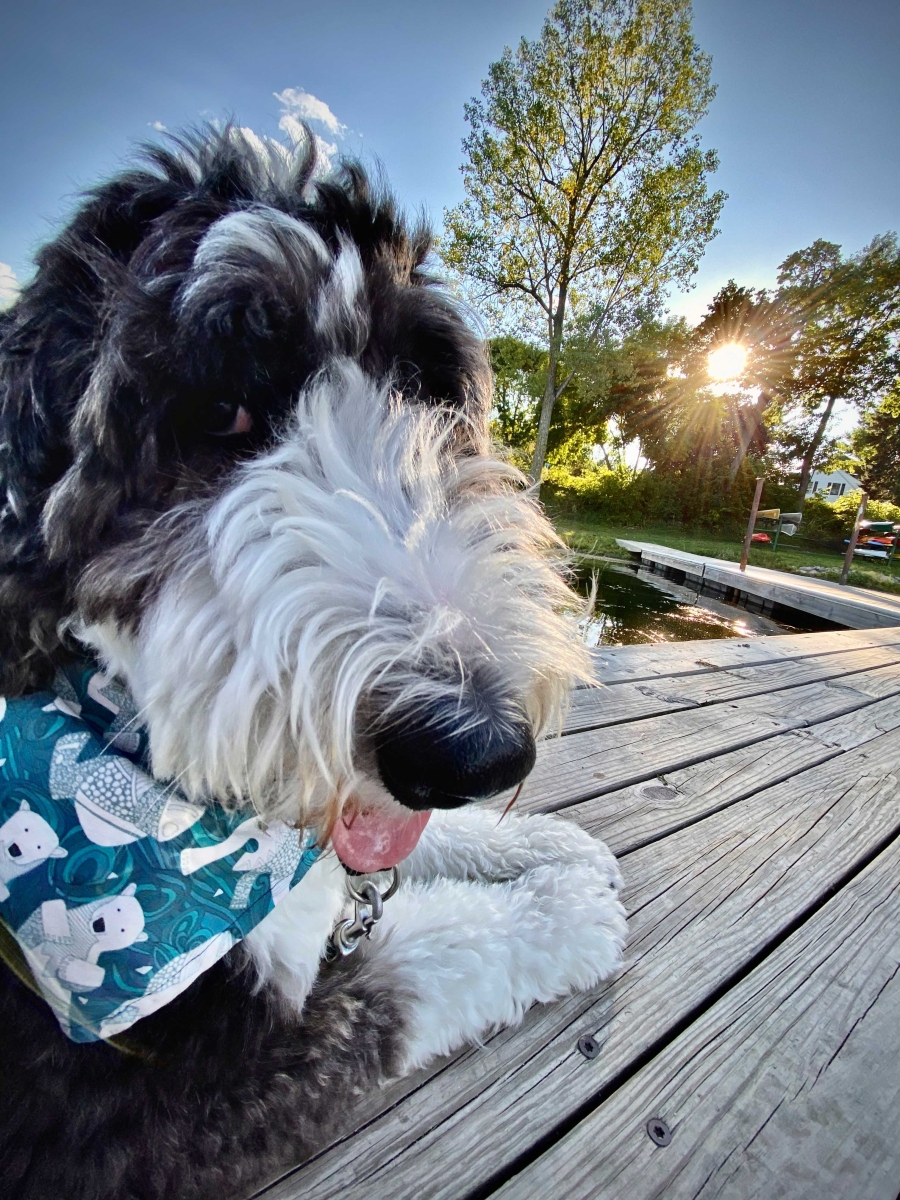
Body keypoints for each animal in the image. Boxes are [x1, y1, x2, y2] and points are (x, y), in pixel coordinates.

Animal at [0, 129, 628, 1200]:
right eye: (220, 412)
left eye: (426, 393)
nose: (477, 749)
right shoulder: (148, 1115)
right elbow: (417, 967)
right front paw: (557, 908)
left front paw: (537, 846)